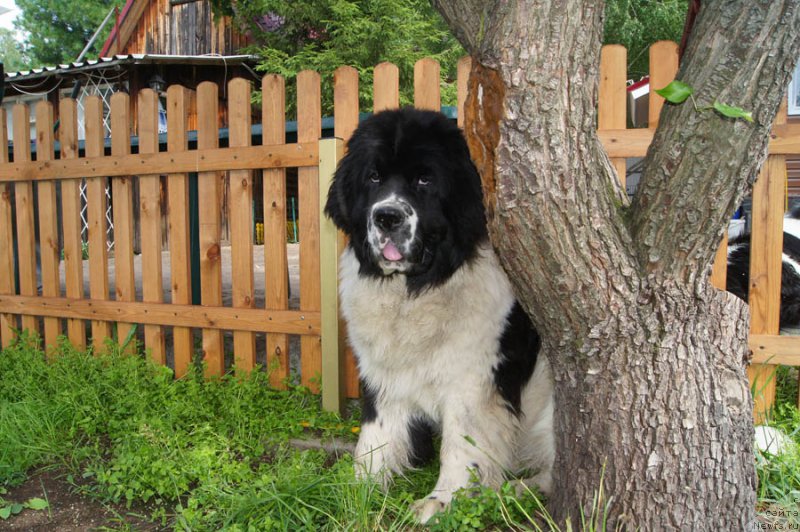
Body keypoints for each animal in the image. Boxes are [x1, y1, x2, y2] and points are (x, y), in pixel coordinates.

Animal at [324, 108, 554, 523]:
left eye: (425, 179)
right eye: (374, 177)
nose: (387, 217)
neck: (414, 291)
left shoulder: (473, 379)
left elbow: (460, 442)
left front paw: (444, 499)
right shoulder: (381, 372)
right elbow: (375, 434)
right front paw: (357, 491)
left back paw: (519, 490)